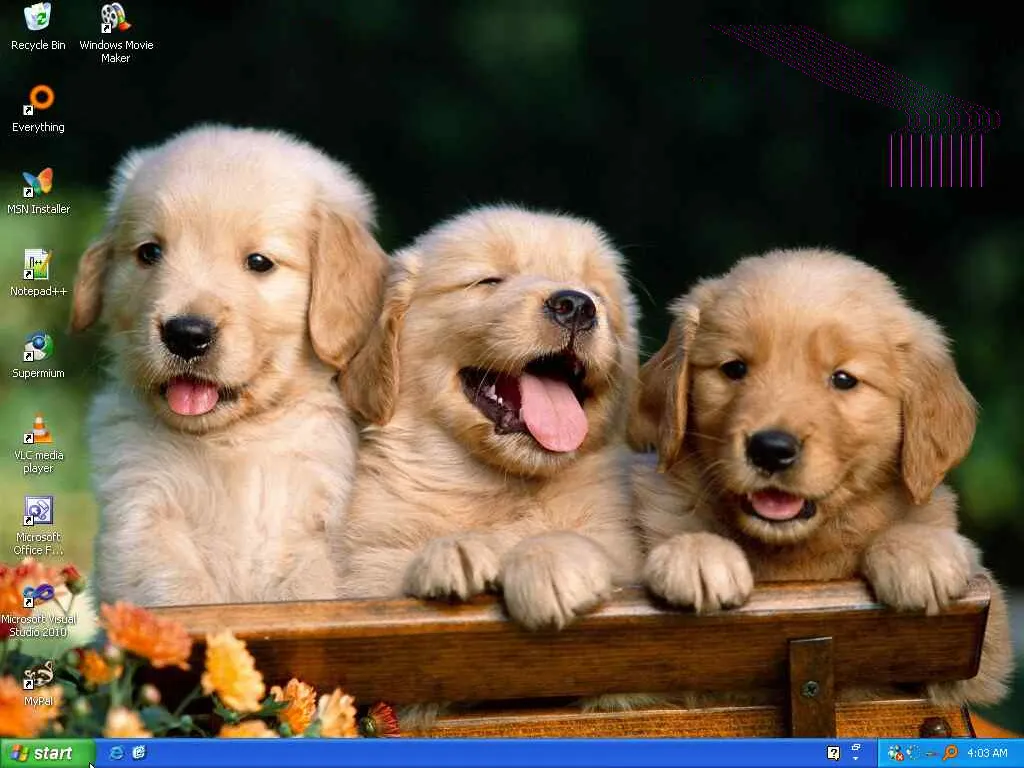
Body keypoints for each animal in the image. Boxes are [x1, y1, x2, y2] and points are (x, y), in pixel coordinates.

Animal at [71, 125, 387, 607]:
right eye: (149, 253)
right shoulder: (142, 515)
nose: (186, 334)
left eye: (259, 262)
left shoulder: (321, 529)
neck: (234, 441)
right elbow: (179, 593)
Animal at [629, 248, 1012, 706]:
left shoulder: (982, 652)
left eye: (843, 379)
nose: (771, 449)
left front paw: (918, 552)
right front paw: (697, 554)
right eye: (734, 369)